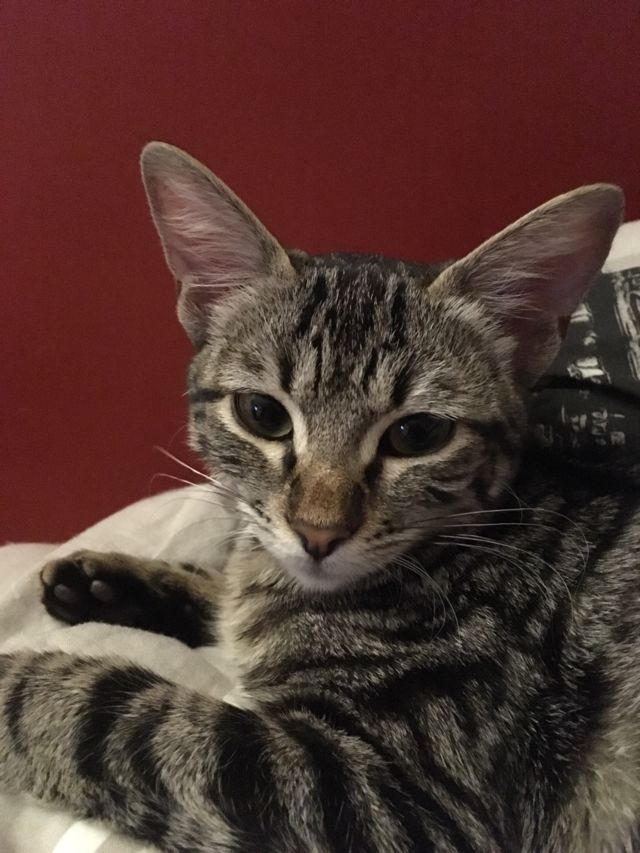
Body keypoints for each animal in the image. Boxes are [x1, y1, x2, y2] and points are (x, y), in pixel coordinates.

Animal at [0, 142, 637, 853]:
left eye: (417, 434)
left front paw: (14, 685)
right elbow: (223, 594)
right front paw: (105, 580)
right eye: (262, 414)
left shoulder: (399, 796)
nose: (318, 532)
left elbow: (120, 715)